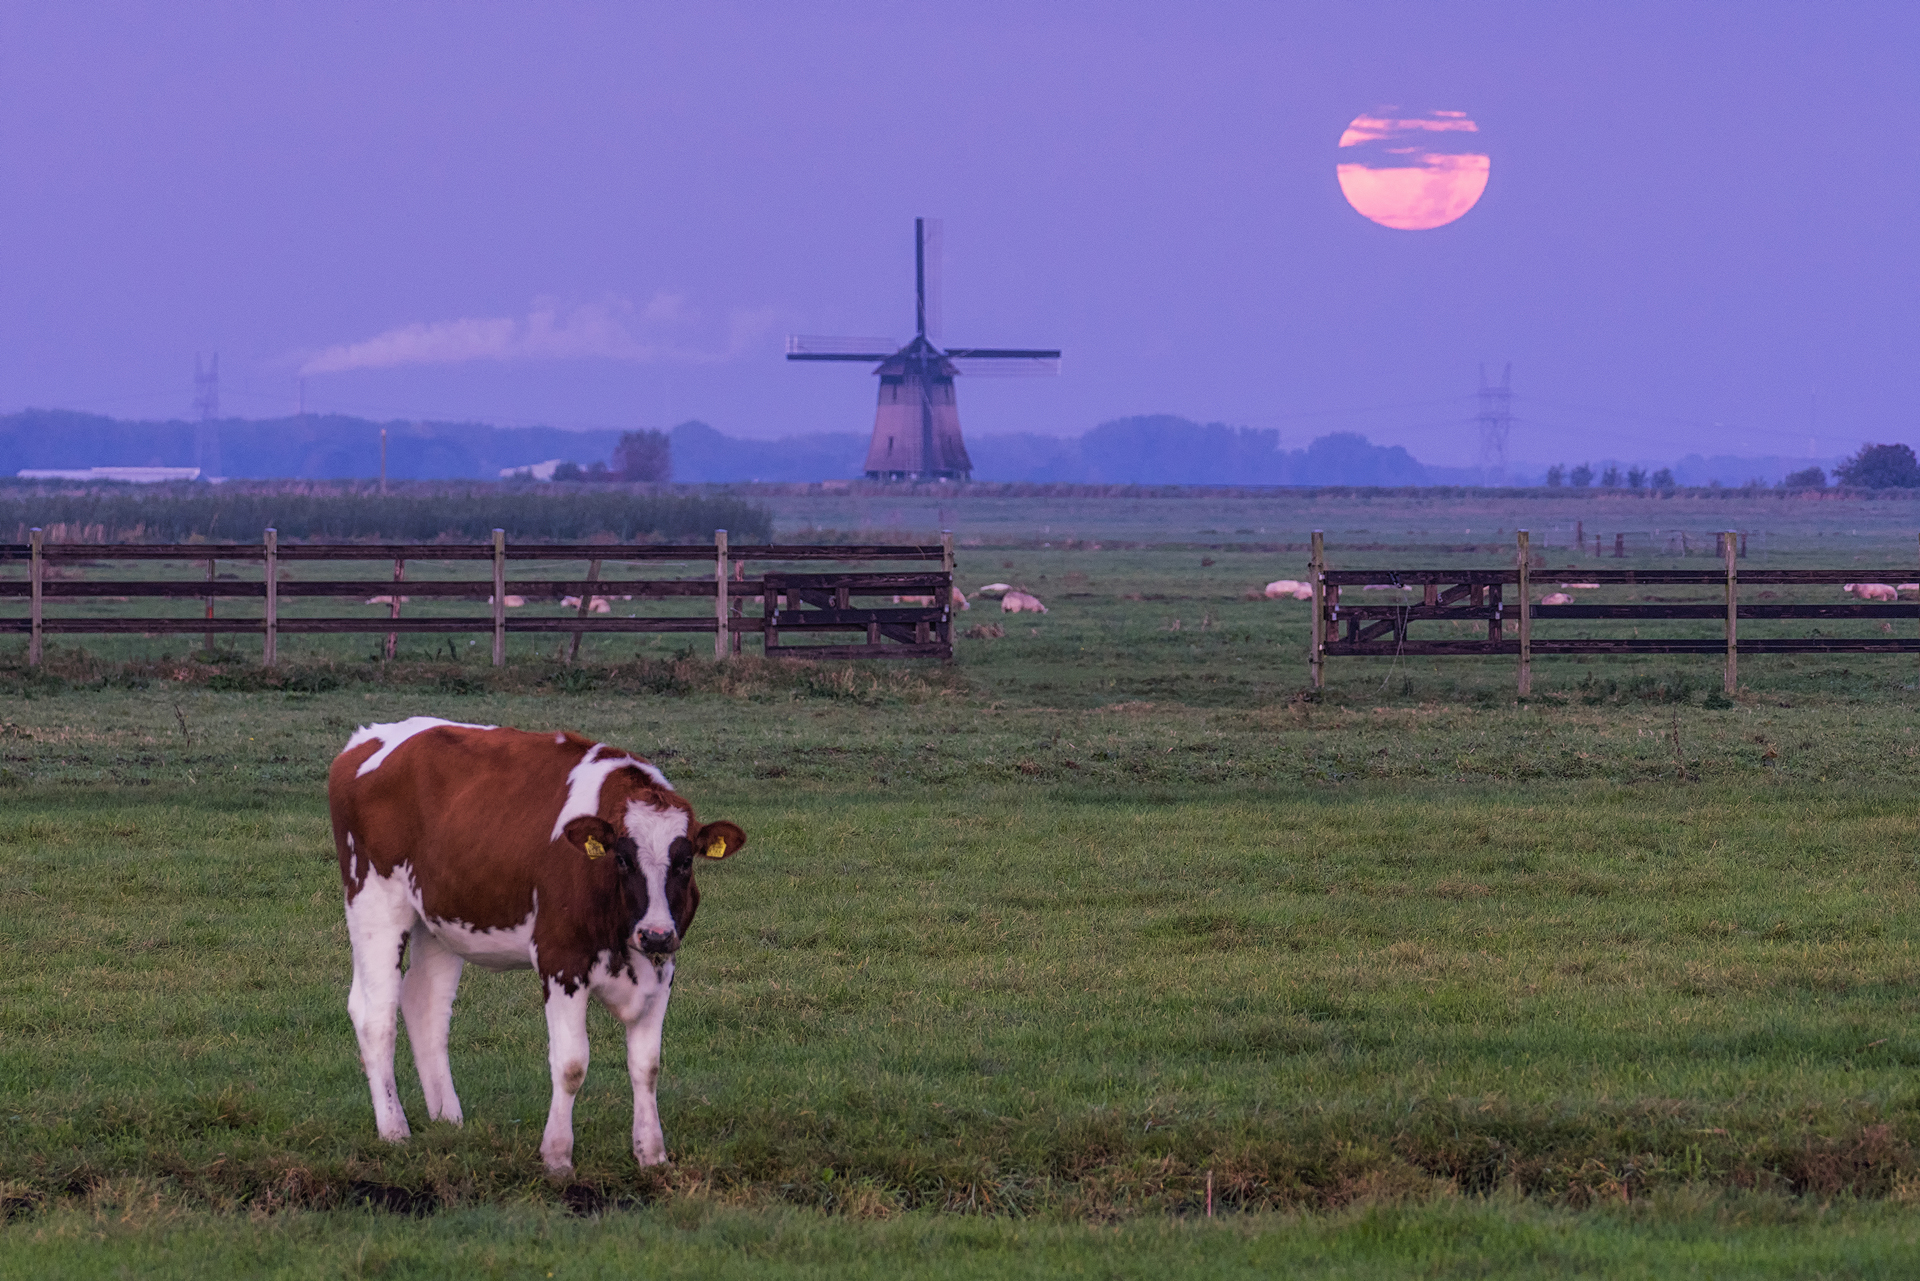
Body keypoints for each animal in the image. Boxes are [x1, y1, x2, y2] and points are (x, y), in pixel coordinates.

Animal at [326, 718, 744, 1175]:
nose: (654, 933)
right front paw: (557, 1157)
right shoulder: (560, 959)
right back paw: (394, 1129)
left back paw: (448, 1119)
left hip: (438, 918)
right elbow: (571, 1064)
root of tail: (369, 737)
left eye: (685, 862)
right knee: (375, 1014)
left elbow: (647, 1065)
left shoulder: (664, 966)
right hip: (375, 900)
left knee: (425, 1006)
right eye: (622, 859)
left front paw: (652, 1155)